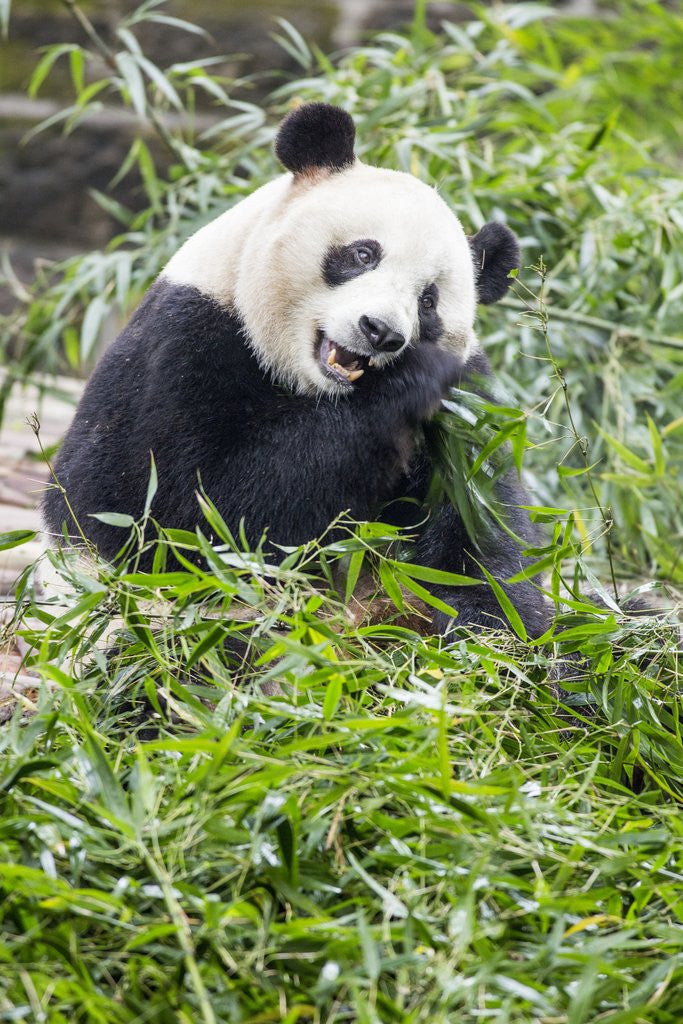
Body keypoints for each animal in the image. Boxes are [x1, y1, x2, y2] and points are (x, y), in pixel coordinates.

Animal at [43, 102, 549, 637]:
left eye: (428, 301)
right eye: (363, 254)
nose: (380, 332)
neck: (314, 389)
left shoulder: (467, 415)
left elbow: (482, 533)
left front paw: (497, 632)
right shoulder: (179, 352)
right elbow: (187, 517)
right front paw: (411, 379)